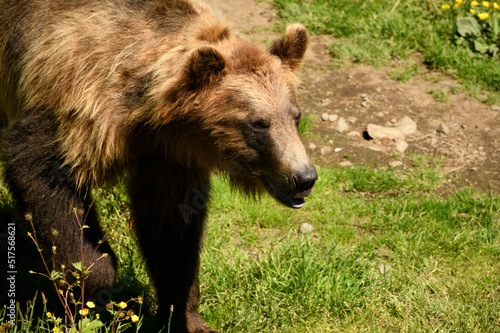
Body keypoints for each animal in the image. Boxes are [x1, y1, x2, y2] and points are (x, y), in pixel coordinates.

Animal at [0, 0, 316, 330]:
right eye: (258, 123)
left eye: (295, 115)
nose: (304, 177)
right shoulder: (73, 109)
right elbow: (49, 187)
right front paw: (91, 291)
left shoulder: (168, 158)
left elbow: (171, 231)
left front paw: (184, 317)